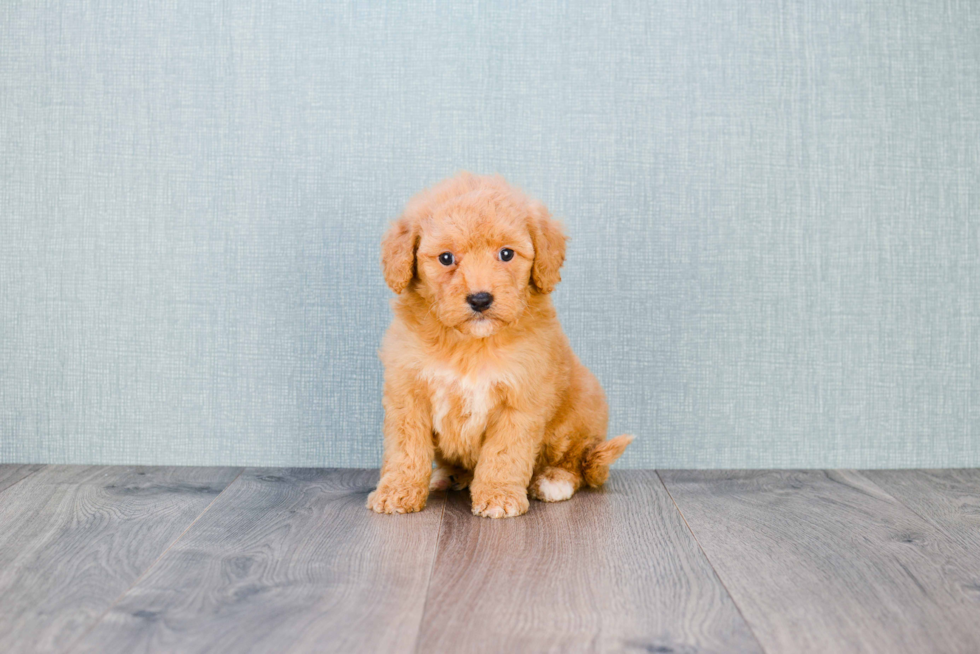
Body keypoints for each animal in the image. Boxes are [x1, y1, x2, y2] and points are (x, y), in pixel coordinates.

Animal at [370, 172, 636, 520]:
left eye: (506, 254)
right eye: (445, 258)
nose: (480, 299)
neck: (470, 344)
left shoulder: (521, 399)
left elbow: (504, 453)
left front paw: (498, 495)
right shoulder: (408, 394)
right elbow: (406, 448)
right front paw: (397, 491)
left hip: (580, 410)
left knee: (578, 460)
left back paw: (554, 479)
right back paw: (447, 476)